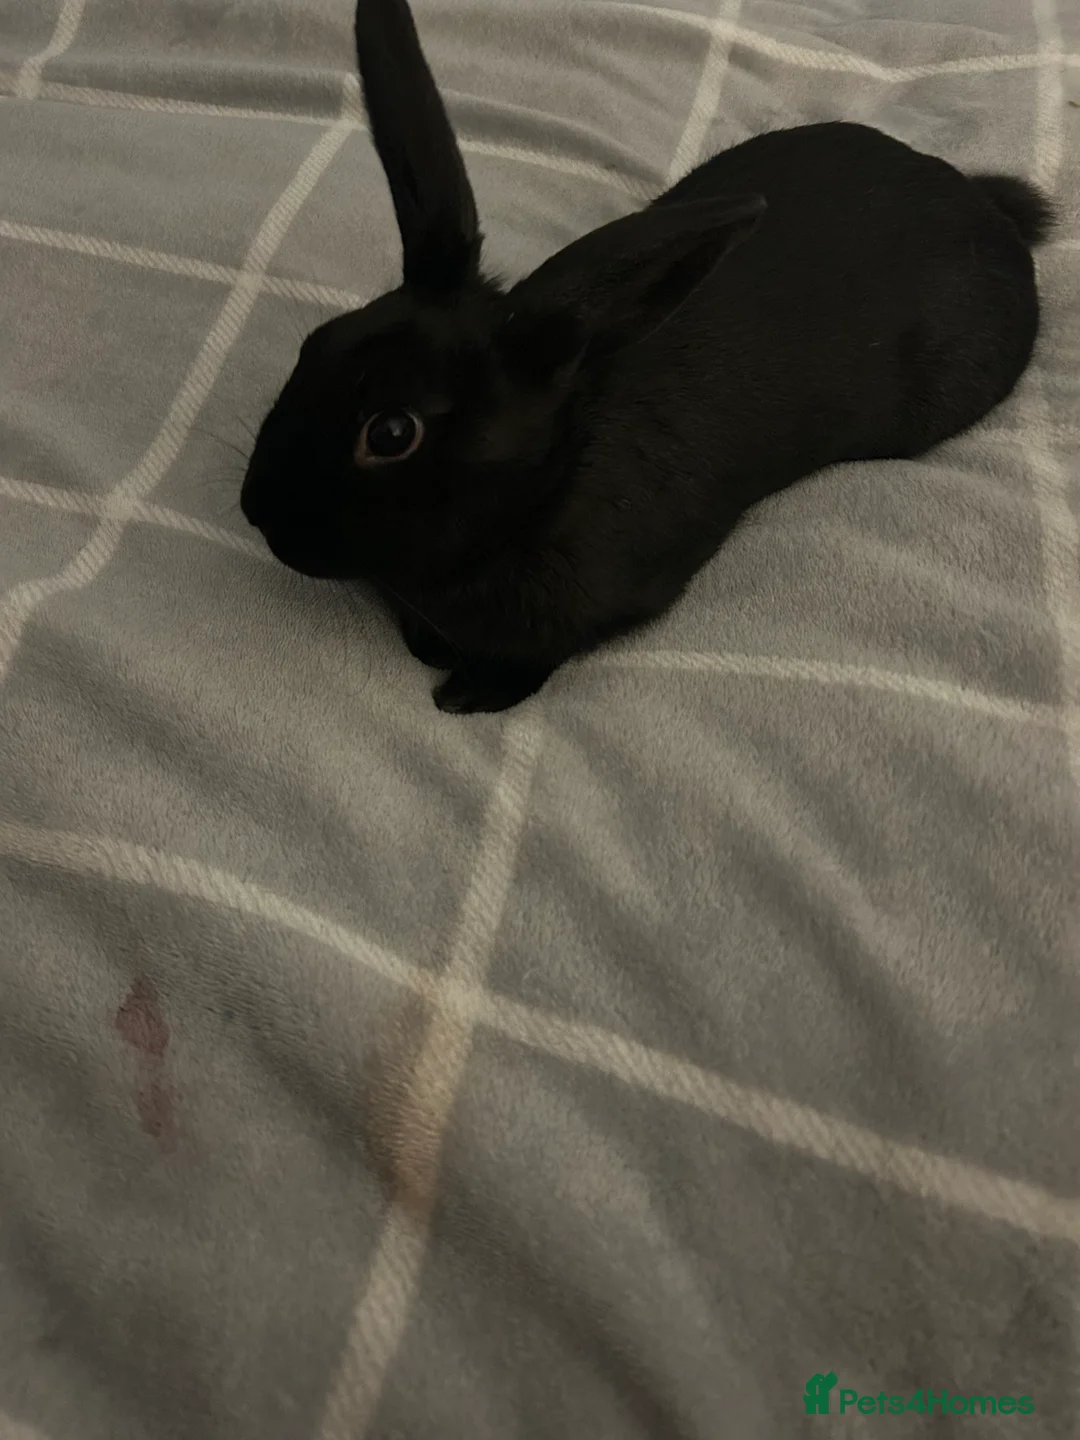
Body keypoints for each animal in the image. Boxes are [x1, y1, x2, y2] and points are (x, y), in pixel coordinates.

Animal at [240, 0, 1053, 714]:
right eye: (315, 345)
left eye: (391, 433)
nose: (255, 514)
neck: (544, 486)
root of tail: (984, 208)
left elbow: (541, 658)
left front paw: (468, 696)